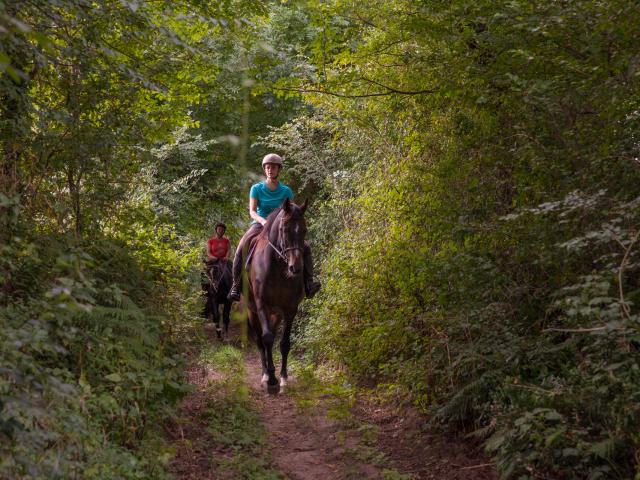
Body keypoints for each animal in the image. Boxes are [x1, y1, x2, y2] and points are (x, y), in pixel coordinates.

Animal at [248, 198, 308, 394]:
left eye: (304, 230)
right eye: (284, 230)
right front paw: (271, 380)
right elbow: (266, 339)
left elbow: (284, 343)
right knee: (260, 341)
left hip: (276, 314)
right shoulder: (261, 305)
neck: (277, 266)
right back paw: (265, 374)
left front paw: (283, 378)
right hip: (253, 312)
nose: (295, 268)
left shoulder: (290, 308)